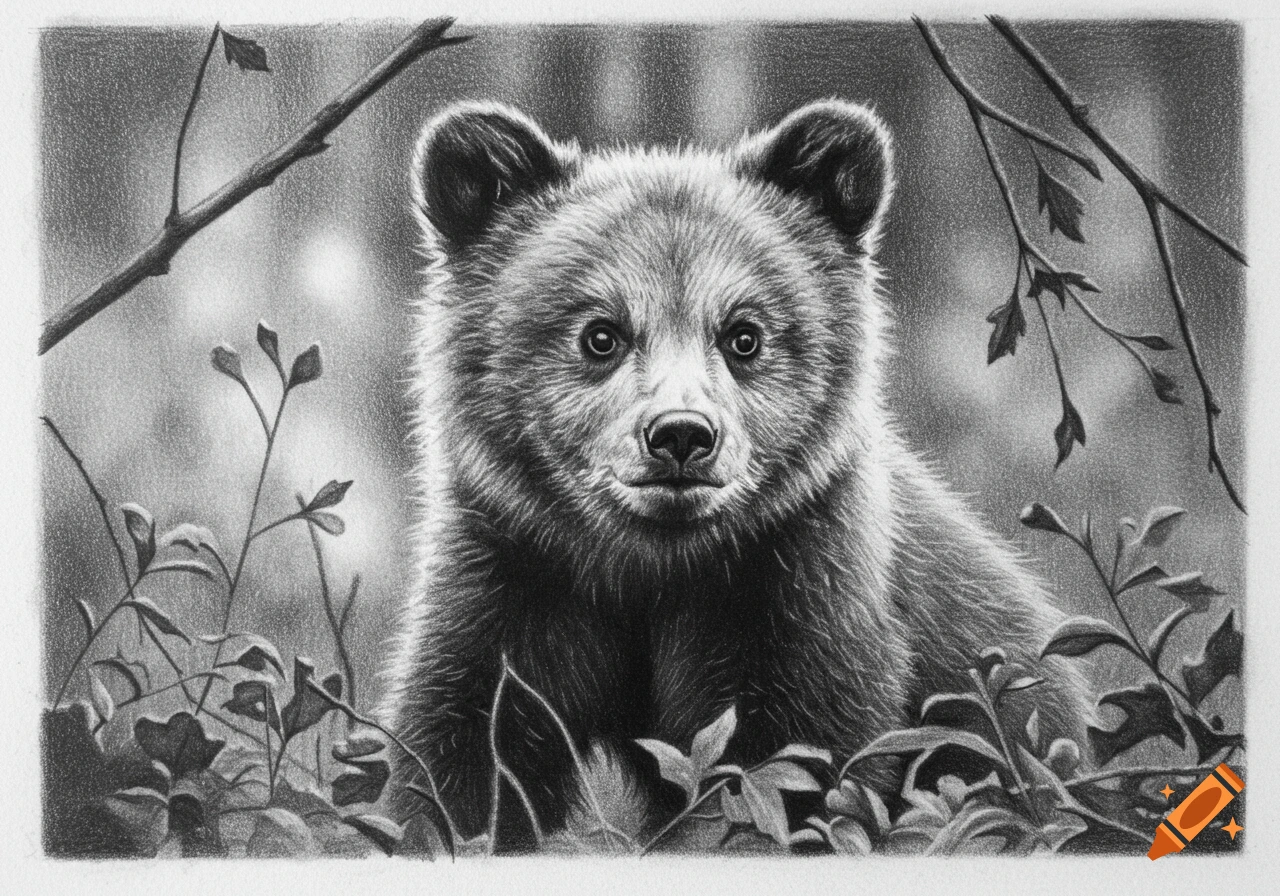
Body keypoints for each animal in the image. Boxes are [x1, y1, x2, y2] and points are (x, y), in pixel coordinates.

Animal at [381, 98, 1094, 848]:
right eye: (600, 333)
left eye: (743, 334)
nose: (681, 435)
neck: (650, 568)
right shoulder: (520, 577)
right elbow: (461, 753)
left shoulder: (796, 588)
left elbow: (788, 771)